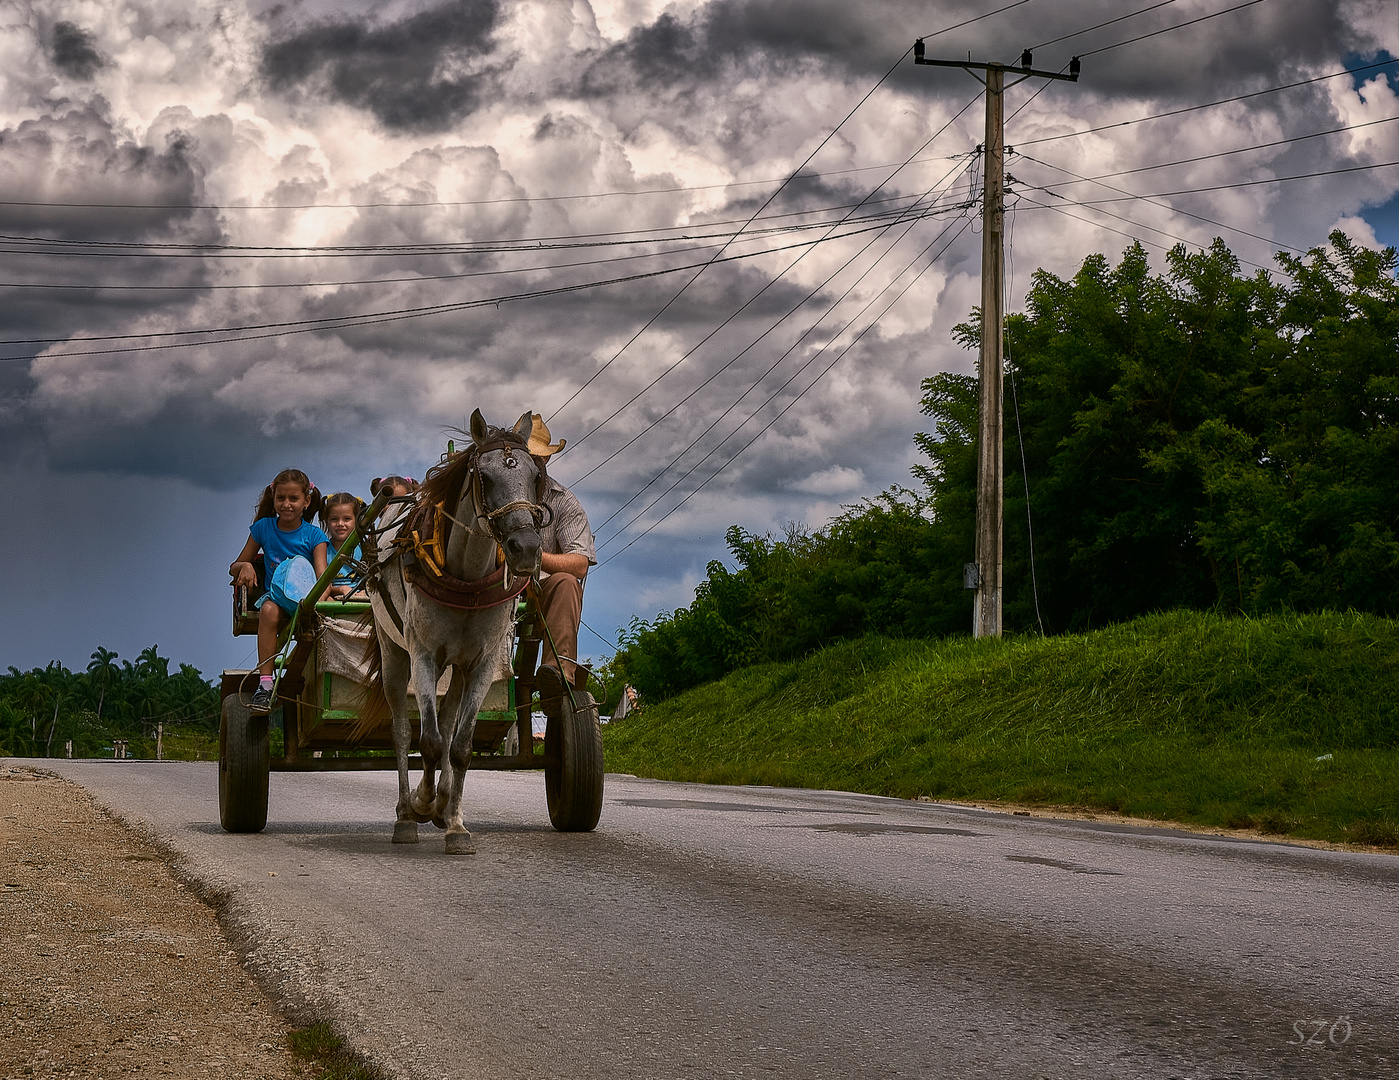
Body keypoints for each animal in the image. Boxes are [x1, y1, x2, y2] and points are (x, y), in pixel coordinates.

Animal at [363, 408, 542, 856]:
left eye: (535, 475)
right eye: (486, 477)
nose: (526, 548)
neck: (466, 577)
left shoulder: (480, 664)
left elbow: (458, 747)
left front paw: (456, 823)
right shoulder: (424, 656)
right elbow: (426, 742)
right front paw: (422, 803)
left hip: (457, 669)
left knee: (446, 726)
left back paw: (443, 806)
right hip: (395, 656)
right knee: (403, 733)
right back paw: (406, 813)